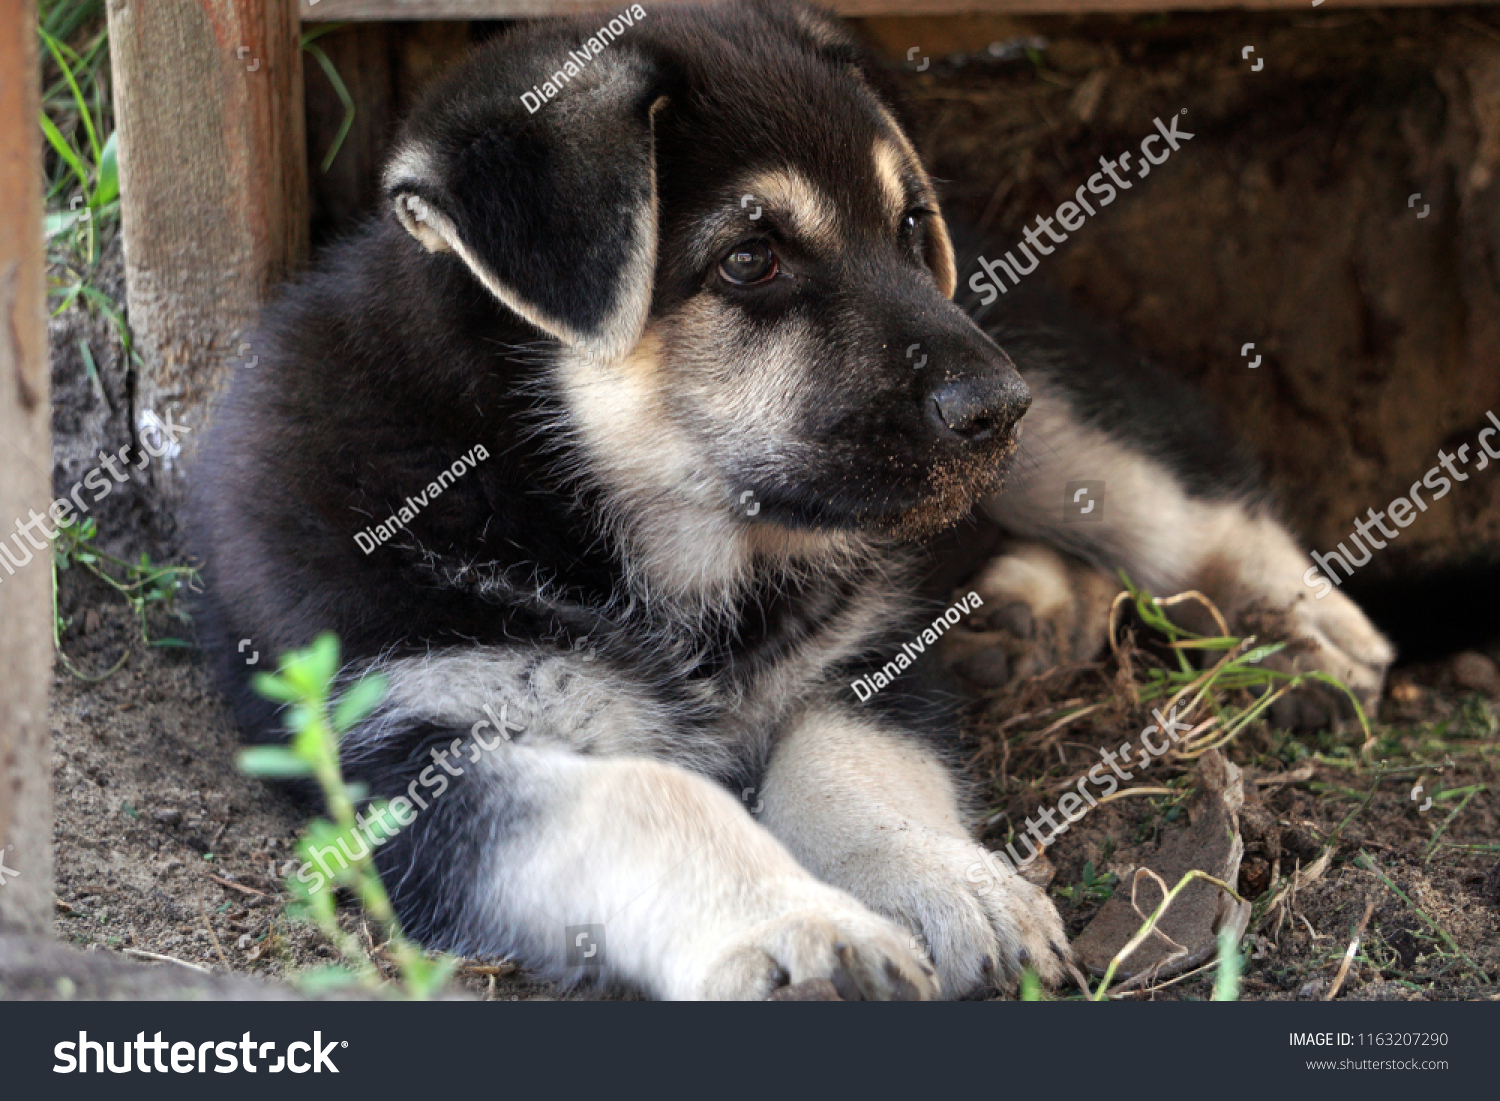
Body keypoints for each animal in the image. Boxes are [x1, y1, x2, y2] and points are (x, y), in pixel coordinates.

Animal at [187, 0, 1392, 1002]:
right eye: (750, 259)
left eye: (906, 228)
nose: (997, 408)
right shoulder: (425, 749)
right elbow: (650, 798)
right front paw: (799, 930)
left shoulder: (862, 663)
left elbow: (844, 775)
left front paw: (945, 883)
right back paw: (1027, 614)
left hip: (1064, 416)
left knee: (1176, 507)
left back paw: (1315, 634)